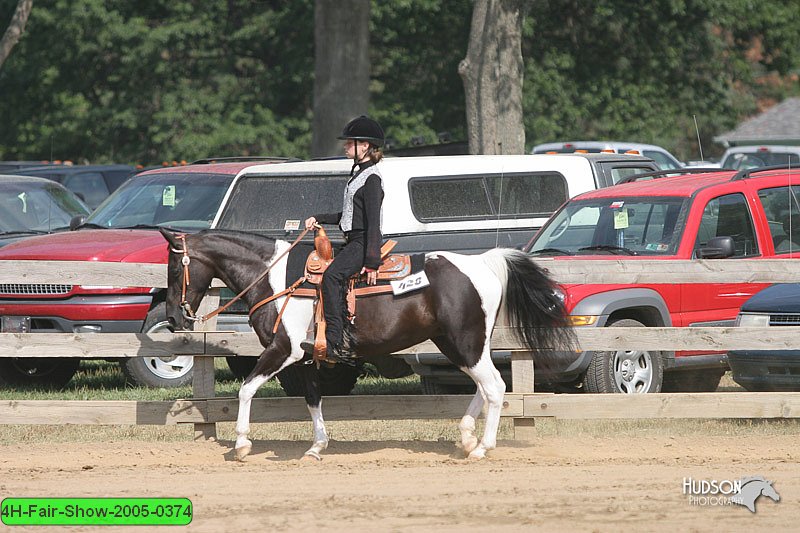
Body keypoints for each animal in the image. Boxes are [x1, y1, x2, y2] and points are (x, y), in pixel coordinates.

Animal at [161, 227, 576, 460]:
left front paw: (242, 445)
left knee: (494, 386)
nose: (174, 318)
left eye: (174, 266)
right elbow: (313, 399)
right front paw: (317, 447)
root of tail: (485, 263)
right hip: (458, 344)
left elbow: (245, 390)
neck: (275, 278)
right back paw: (468, 438)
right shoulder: (306, 358)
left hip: (464, 341)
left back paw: (483, 448)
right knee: (484, 386)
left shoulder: (283, 350)